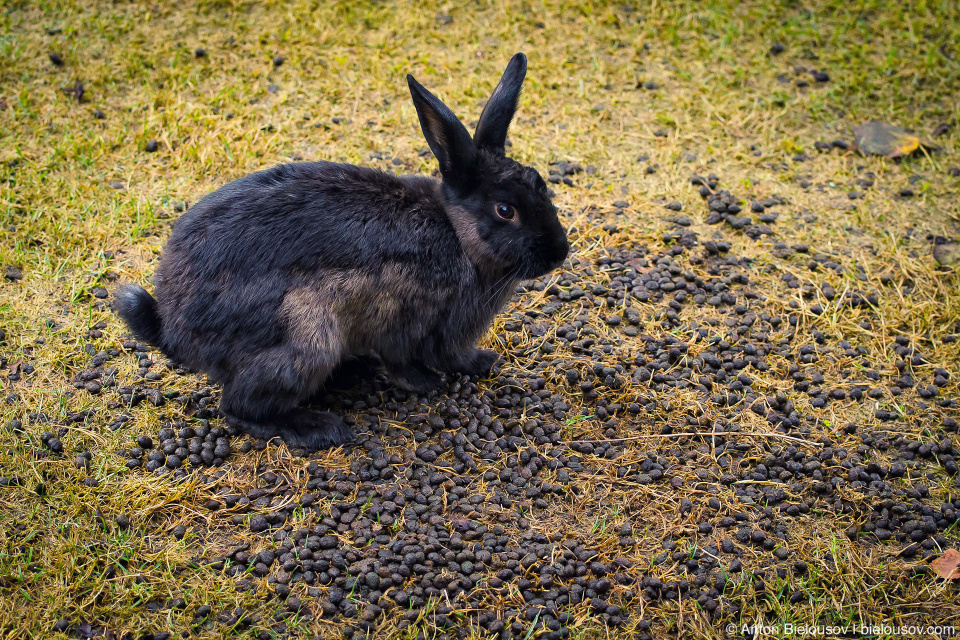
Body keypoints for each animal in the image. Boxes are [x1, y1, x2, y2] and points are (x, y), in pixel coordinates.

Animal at [119, 52, 568, 448]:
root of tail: (173, 329)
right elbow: (413, 360)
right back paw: (318, 428)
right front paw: (443, 377)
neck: (457, 233)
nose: (559, 252)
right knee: (239, 407)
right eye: (505, 210)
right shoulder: (410, 318)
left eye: (541, 183)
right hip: (306, 340)